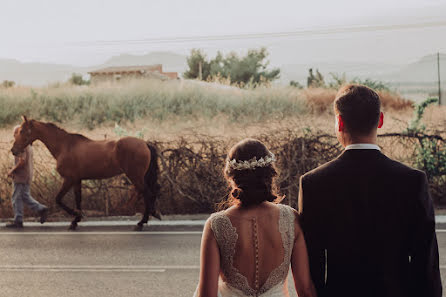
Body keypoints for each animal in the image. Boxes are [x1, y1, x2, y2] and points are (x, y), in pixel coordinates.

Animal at [10, 115, 161, 229]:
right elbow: (78, 199)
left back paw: (141, 222)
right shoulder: (77, 180)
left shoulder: (69, 179)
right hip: (142, 176)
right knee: (151, 192)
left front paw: (76, 216)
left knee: (147, 193)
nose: (13, 150)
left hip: (136, 176)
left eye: (22, 131)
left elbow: (58, 199)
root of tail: (145, 144)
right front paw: (75, 220)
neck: (65, 146)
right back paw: (153, 214)